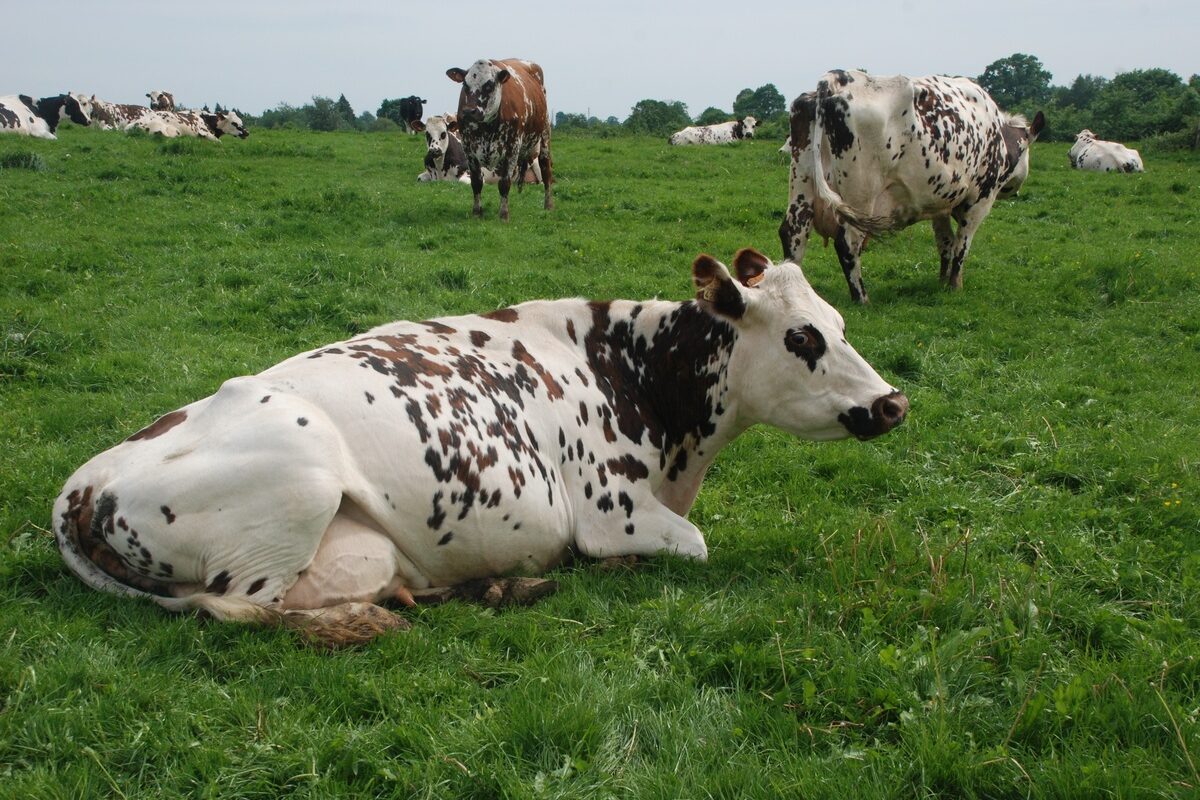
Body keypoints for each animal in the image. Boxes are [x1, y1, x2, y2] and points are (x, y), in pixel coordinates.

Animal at [51, 250, 902, 652]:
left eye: (842, 323)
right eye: (803, 338)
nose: (894, 401)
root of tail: (80, 485)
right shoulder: (615, 513)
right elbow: (693, 544)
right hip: (294, 492)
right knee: (249, 613)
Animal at [446, 56, 552, 220]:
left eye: (489, 85)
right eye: (465, 84)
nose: (469, 111)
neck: (487, 127)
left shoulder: (512, 147)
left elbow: (504, 183)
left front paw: (503, 214)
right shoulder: (468, 149)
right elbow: (476, 182)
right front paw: (477, 212)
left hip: (544, 134)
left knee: (546, 169)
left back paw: (548, 205)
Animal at [777, 69, 1041, 303]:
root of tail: (835, 79)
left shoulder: (940, 205)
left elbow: (945, 243)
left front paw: (941, 281)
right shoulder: (980, 199)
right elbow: (961, 246)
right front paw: (954, 285)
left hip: (802, 185)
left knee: (793, 233)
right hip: (860, 197)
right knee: (848, 242)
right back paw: (862, 298)